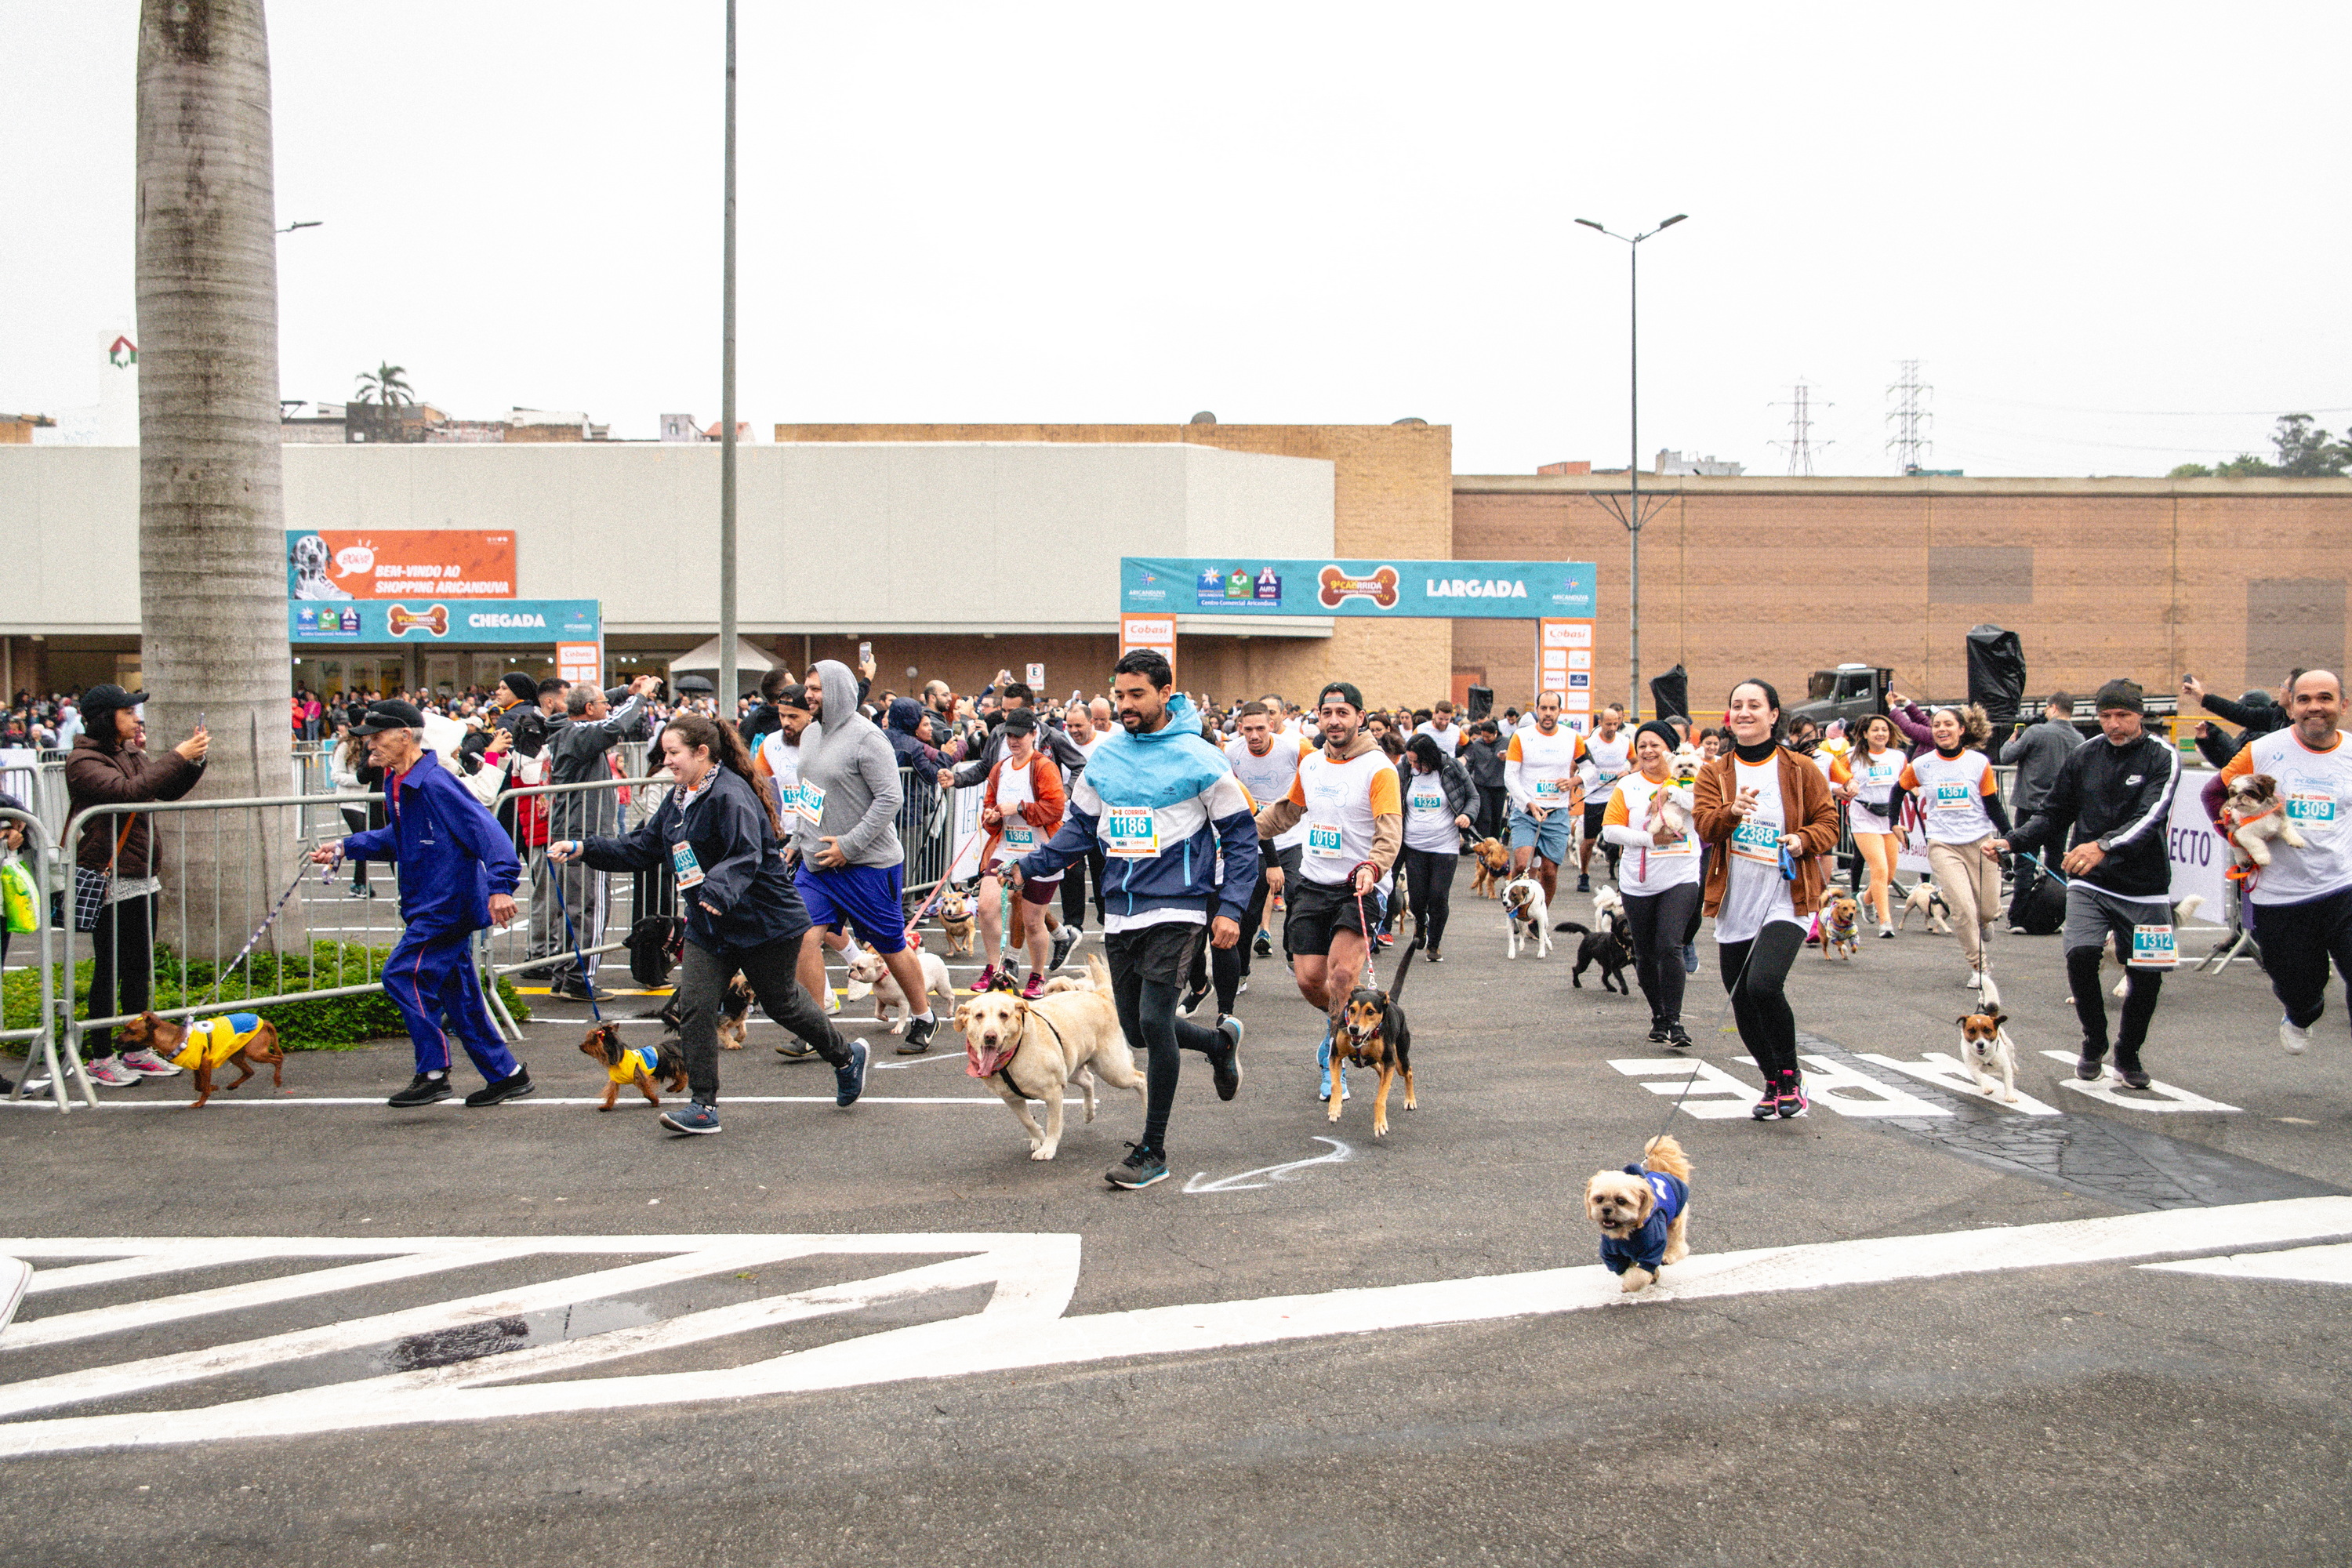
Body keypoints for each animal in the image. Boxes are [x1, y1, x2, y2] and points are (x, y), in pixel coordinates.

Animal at [579, 1020, 687, 1114]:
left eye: (591, 1041)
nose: (580, 1046)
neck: (618, 1059)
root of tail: (678, 1041)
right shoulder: (615, 1080)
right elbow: (611, 1093)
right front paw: (607, 1106)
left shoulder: (640, 1076)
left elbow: (647, 1091)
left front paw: (654, 1101)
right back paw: (674, 1088)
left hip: (673, 1065)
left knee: (683, 1077)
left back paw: (675, 1088)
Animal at [950, 949, 1143, 1161]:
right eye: (979, 1016)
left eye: (1004, 1015)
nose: (990, 1037)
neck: (1015, 1054)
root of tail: (1099, 995)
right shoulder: (1011, 1099)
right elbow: (1027, 1121)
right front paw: (1038, 1138)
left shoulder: (1053, 1093)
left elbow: (1054, 1123)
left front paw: (1048, 1148)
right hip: (1071, 1065)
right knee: (1088, 1079)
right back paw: (1089, 1112)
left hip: (1112, 1069)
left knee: (1141, 1079)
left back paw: (1146, 1110)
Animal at [1336, 940, 1421, 1133]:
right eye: (1351, 1009)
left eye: (1370, 1012)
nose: (1353, 1029)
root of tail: (1393, 1002)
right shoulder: (1335, 1054)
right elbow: (1335, 1083)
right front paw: (1334, 1109)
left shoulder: (1390, 1061)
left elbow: (1380, 1098)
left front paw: (1380, 1124)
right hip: (1373, 1061)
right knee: (1380, 1071)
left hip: (1400, 1057)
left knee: (1408, 1071)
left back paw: (1410, 1100)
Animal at [1581, 1133, 1693, 1298]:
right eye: (1599, 1199)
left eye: (1621, 1201)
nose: (1606, 1209)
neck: (1626, 1233)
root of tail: (1665, 1173)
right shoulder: (1612, 1256)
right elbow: (1626, 1270)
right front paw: (1650, 1275)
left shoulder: (1652, 1250)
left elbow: (1638, 1275)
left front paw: (1632, 1284)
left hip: (1676, 1223)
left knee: (1680, 1246)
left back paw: (1669, 1256)